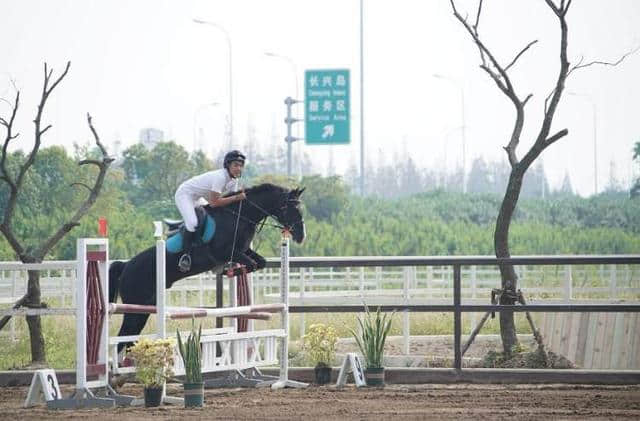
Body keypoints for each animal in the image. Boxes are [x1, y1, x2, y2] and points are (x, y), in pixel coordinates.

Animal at [109, 180, 306, 348]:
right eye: (290, 208)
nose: (301, 236)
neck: (240, 217)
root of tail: (125, 266)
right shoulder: (224, 252)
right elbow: (250, 264)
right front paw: (229, 271)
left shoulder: (243, 251)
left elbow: (259, 263)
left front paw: (230, 271)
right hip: (134, 308)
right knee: (122, 339)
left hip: (144, 310)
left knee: (129, 340)